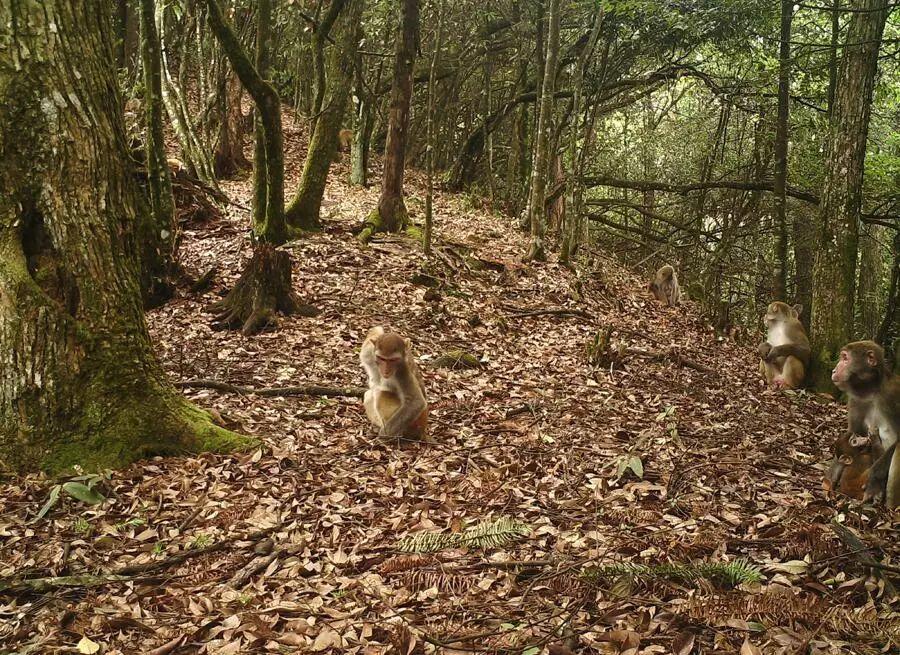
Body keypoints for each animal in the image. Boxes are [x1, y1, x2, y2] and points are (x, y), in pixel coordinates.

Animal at [828, 340, 900, 510]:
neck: (873, 391)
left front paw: (874, 482)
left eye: (845, 358)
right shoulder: (856, 400)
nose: (834, 370)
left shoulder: (893, 395)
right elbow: (854, 432)